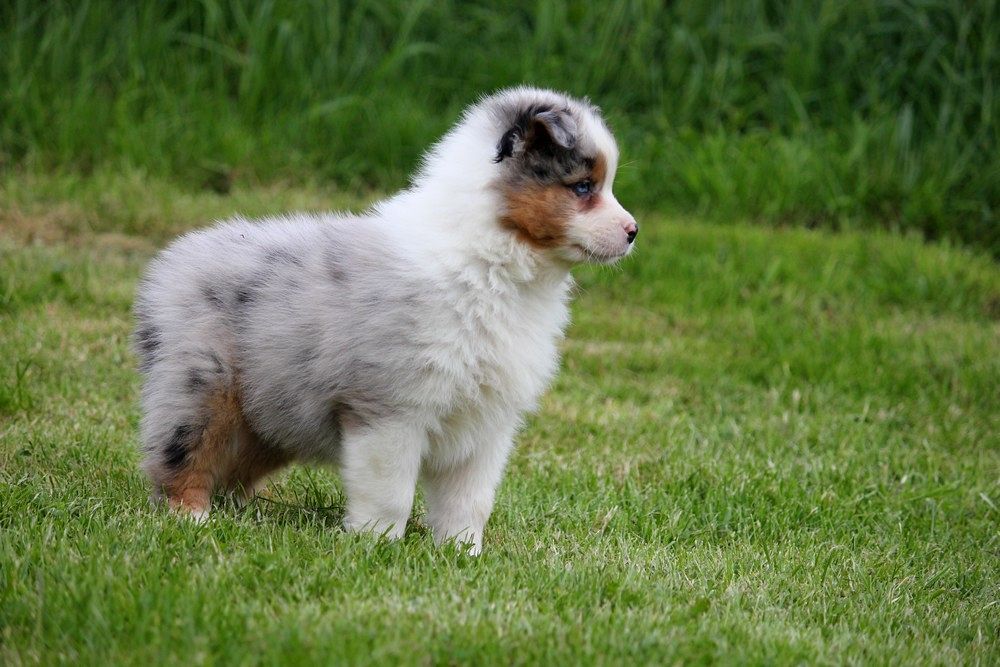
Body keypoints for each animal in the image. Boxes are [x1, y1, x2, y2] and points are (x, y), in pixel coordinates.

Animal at [133, 86, 636, 556]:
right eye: (583, 187)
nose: (634, 232)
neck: (490, 263)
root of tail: (171, 262)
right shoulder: (391, 408)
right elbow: (390, 492)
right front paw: (376, 547)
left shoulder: (487, 422)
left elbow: (470, 501)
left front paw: (463, 554)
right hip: (203, 385)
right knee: (181, 455)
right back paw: (192, 516)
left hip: (270, 411)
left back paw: (241, 511)